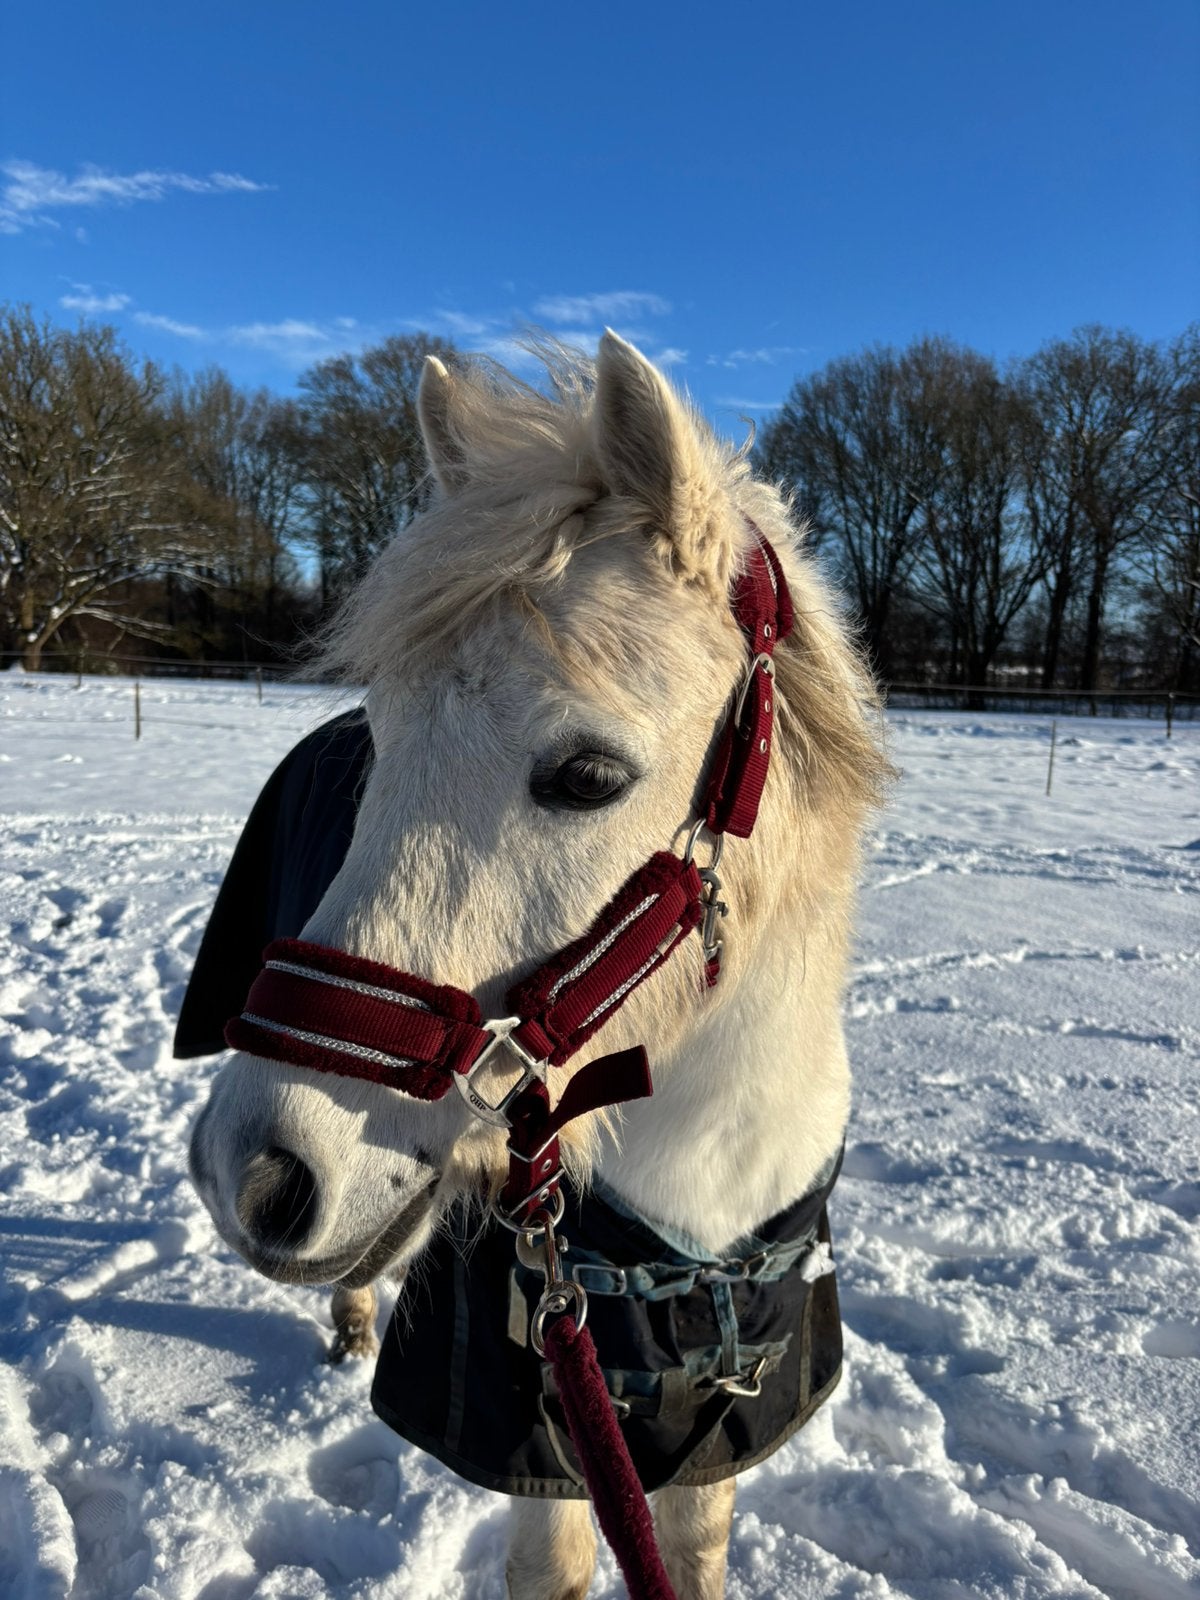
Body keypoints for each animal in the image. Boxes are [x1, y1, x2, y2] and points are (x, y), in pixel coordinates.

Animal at [188, 331, 888, 1599]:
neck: (694, 1231)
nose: (254, 1174)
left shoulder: (720, 1434)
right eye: (384, 740)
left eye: (588, 776)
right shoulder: (538, 1443)